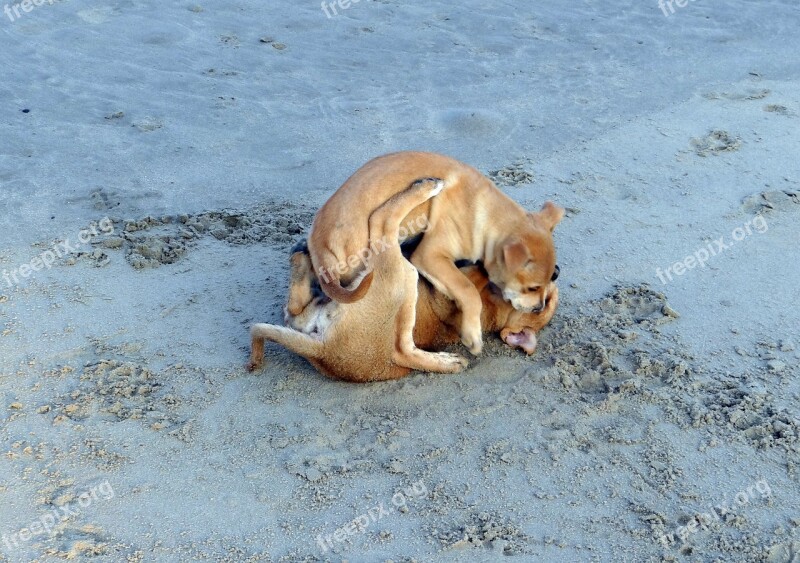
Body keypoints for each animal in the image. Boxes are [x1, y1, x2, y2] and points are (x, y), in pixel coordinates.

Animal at [247, 181, 560, 384]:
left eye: (545, 304)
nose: (556, 271)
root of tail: (326, 350)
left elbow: (474, 279)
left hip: (398, 271)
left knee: (382, 222)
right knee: (293, 308)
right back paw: (300, 258)